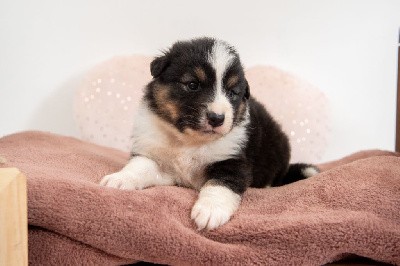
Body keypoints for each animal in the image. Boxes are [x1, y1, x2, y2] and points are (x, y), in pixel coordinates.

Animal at [101, 37, 318, 231]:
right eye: (192, 85)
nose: (217, 118)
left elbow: (219, 186)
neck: (188, 141)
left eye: (232, 92)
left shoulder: (232, 161)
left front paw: (210, 212)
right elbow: (139, 168)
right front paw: (119, 179)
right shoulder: (153, 154)